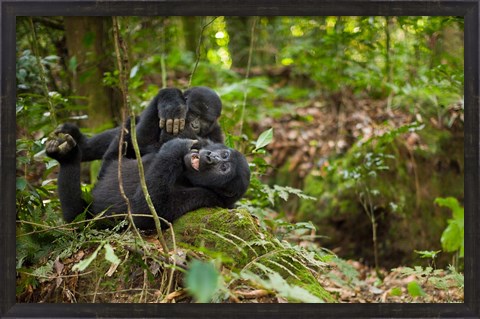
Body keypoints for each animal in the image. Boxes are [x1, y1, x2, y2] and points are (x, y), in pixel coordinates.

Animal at [44, 123, 251, 230]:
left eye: (223, 168)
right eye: (223, 154)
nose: (210, 157)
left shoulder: (205, 198)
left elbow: (144, 213)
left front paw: (175, 147)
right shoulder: (201, 139)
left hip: (86, 220)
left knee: (76, 217)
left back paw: (68, 159)